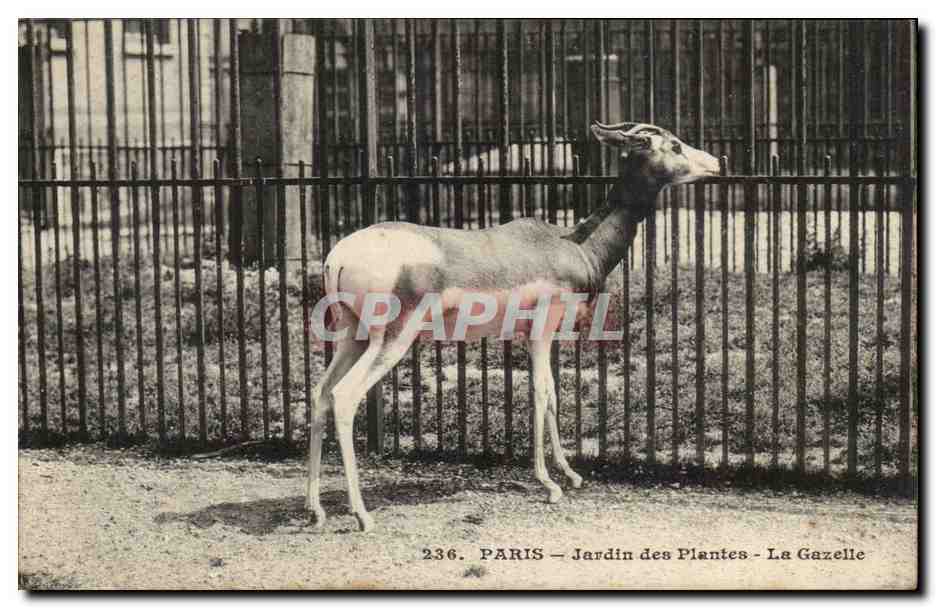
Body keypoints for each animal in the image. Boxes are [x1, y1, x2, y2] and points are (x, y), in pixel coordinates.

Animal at [306, 121, 720, 532]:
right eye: (674, 145)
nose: (715, 163)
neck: (576, 245)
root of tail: (337, 256)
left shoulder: (535, 333)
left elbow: (552, 393)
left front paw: (571, 475)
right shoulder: (542, 326)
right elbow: (540, 391)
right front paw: (549, 485)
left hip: (354, 337)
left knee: (321, 392)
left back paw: (316, 509)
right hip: (391, 339)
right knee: (344, 396)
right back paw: (361, 514)